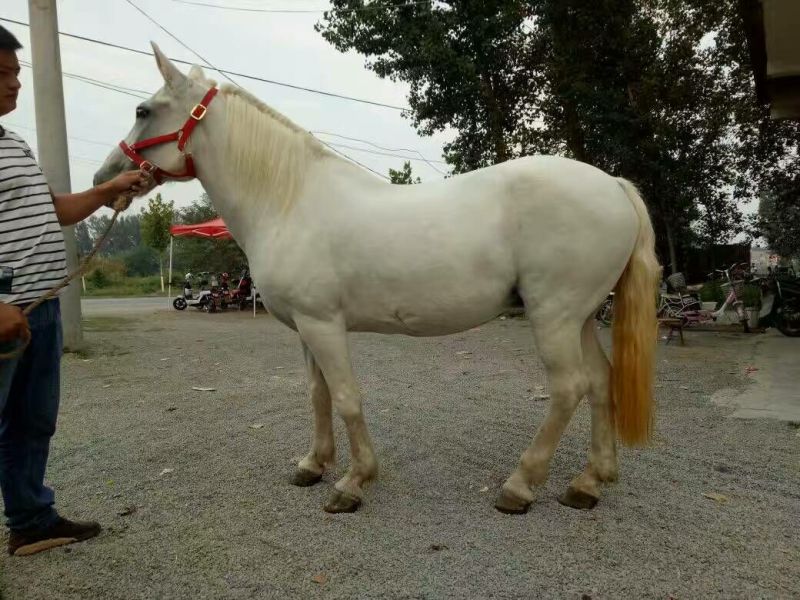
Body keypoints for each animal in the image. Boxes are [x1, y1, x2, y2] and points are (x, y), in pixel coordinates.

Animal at [94, 44, 661, 515]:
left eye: (144, 111)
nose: (106, 178)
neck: (289, 199)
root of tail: (613, 184)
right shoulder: (306, 327)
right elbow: (317, 394)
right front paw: (313, 465)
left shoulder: (324, 324)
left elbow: (347, 397)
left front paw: (353, 482)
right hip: (578, 317)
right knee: (601, 382)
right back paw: (589, 482)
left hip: (554, 316)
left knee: (568, 388)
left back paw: (519, 486)